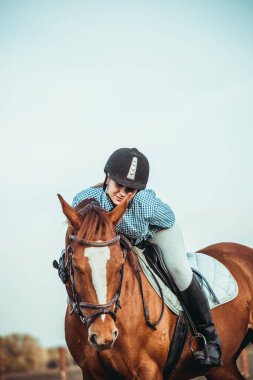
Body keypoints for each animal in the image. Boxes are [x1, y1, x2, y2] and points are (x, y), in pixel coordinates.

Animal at [57, 193, 253, 380]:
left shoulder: (147, 370)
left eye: (120, 265)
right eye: (75, 266)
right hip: (223, 368)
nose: (103, 336)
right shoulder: (91, 374)